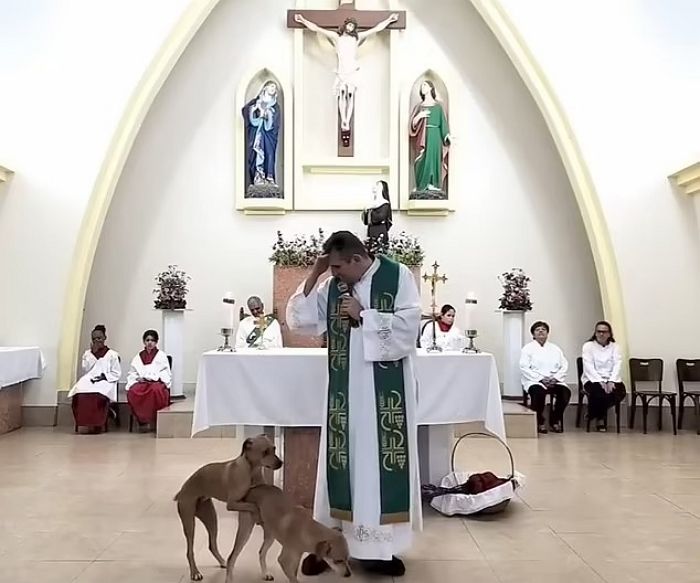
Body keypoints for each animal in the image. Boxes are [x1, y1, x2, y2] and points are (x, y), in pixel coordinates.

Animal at [174, 436, 282, 580]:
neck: (251, 471)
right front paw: (258, 515)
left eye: (274, 448)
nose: (281, 463)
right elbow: (252, 505)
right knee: (189, 551)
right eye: (264, 452)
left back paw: (222, 562)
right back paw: (195, 572)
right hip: (189, 522)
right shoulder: (232, 504)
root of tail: (182, 489)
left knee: (212, 545)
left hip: (211, 519)